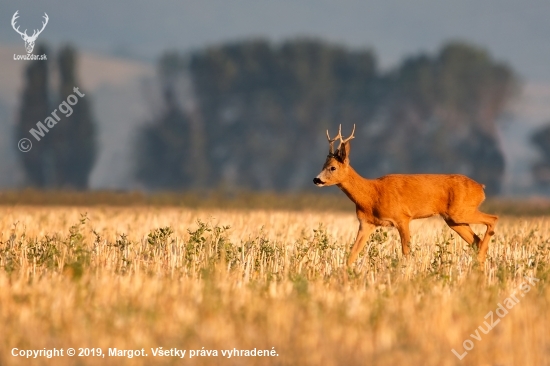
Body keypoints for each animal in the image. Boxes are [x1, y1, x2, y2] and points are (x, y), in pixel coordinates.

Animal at [314, 125, 500, 266]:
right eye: (323, 165)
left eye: (332, 168)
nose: (316, 179)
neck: (371, 195)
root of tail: (481, 188)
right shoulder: (366, 223)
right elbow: (352, 253)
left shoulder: (402, 217)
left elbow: (406, 252)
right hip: (453, 219)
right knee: (476, 241)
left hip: (461, 211)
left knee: (493, 219)